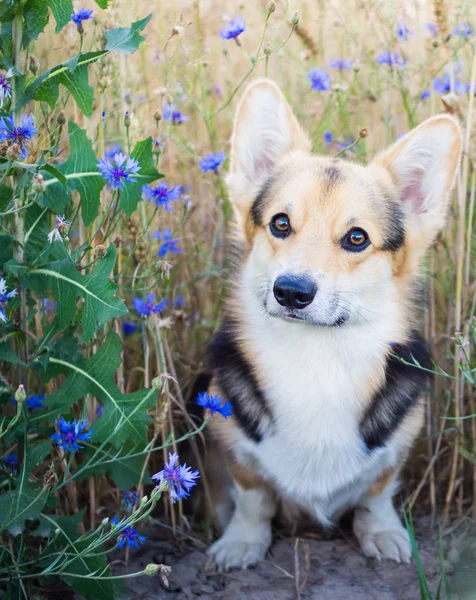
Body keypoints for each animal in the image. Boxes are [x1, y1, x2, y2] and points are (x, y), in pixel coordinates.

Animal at [204, 77, 462, 568]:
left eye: (357, 238)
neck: (316, 356)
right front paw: (241, 542)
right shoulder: (232, 442)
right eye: (280, 223)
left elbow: (376, 494)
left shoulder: (396, 448)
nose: (291, 291)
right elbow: (252, 497)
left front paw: (382, 534)